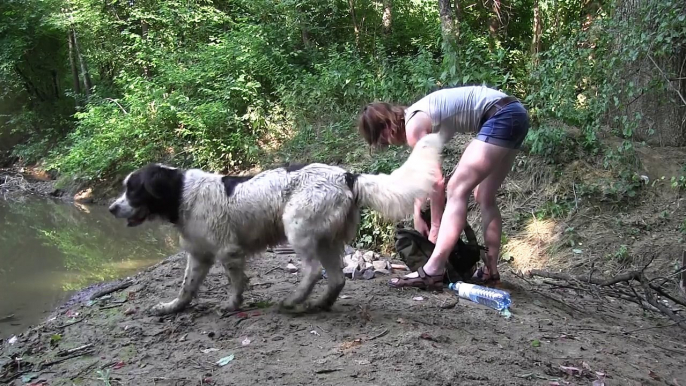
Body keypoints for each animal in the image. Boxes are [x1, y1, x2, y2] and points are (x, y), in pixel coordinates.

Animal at [110, 133, 444, 314]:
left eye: (133, 189)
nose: (112, 208)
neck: (181, 194)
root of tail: (346, 175)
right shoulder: (198, 256)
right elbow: (187, 288)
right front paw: (171, 308)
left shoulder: (228, 252)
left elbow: (236, 283)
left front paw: (231, 305)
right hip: (327, 239)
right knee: (336, 278)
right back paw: (318, 304)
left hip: (297, 227)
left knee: (313, 271)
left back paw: (293, 301)